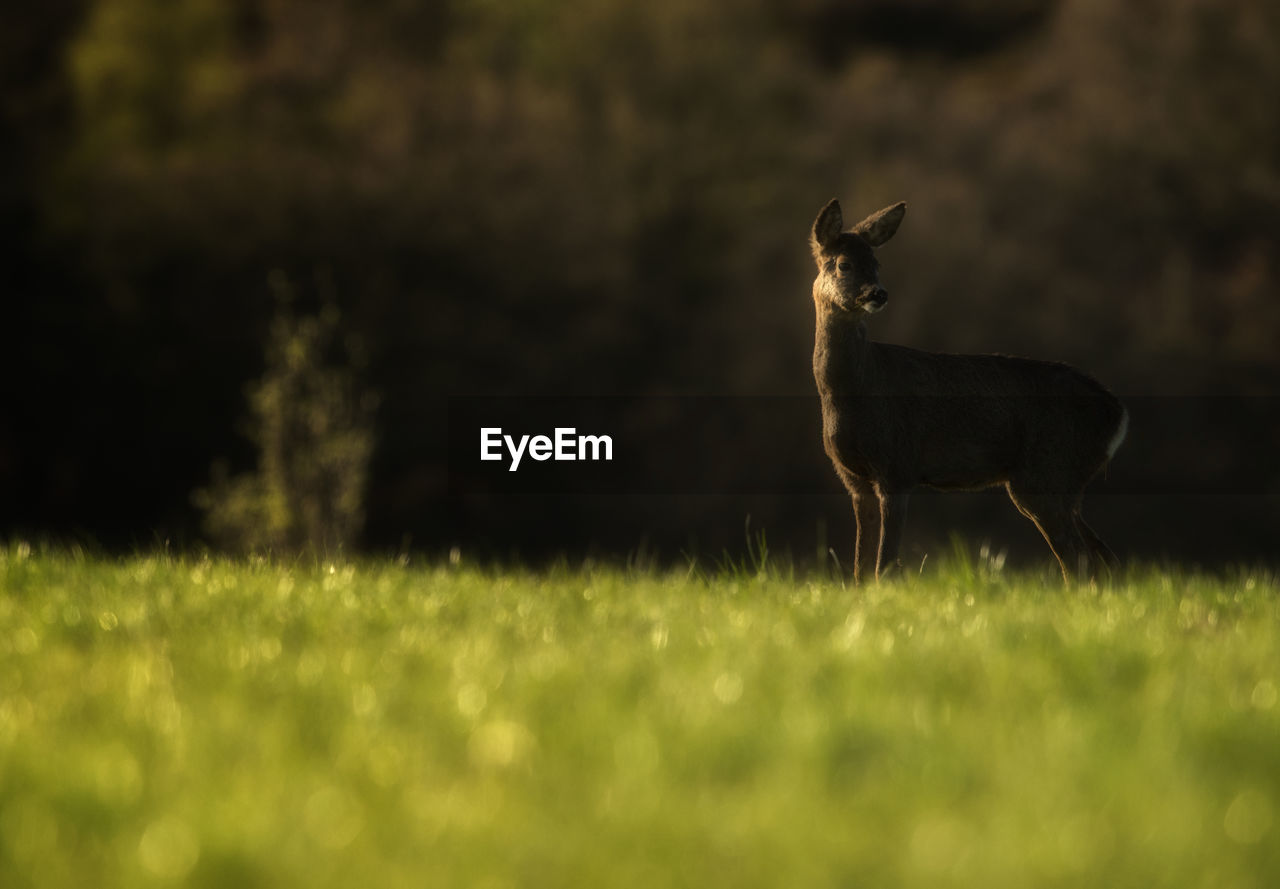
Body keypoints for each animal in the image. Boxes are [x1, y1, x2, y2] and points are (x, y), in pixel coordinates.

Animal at [814, 199, 1126, 583]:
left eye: (877, 263)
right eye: (843, 263)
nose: (878, 294)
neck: (854, 391)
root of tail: (1118, 414)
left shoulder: (898, 464)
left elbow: (885, 564)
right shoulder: (854, 479)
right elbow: (860, 568)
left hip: (1047, 470)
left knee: (1079, 559)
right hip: (1062, 482)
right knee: (1103, 557)